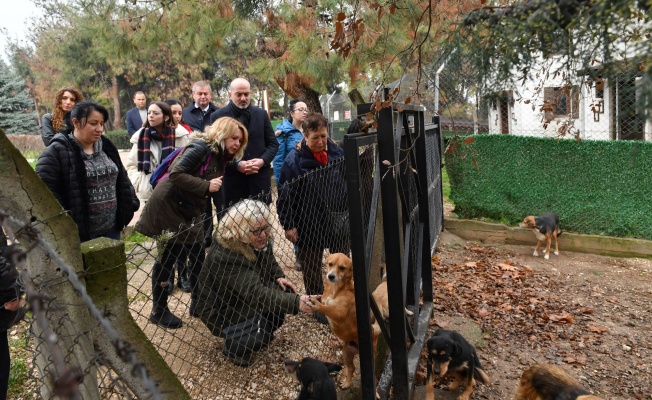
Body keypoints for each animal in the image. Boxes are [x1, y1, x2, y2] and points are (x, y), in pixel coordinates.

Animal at [310, 253, 380, 388]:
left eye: (342, 268)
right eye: (330, 264)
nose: (330, 276)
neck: (336, 290)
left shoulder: (339, 313)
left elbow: (326, 308)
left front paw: (316, 304)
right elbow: (325, 304)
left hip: (370, 356)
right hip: (346, 352)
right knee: (352, 368)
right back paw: (347, 384)